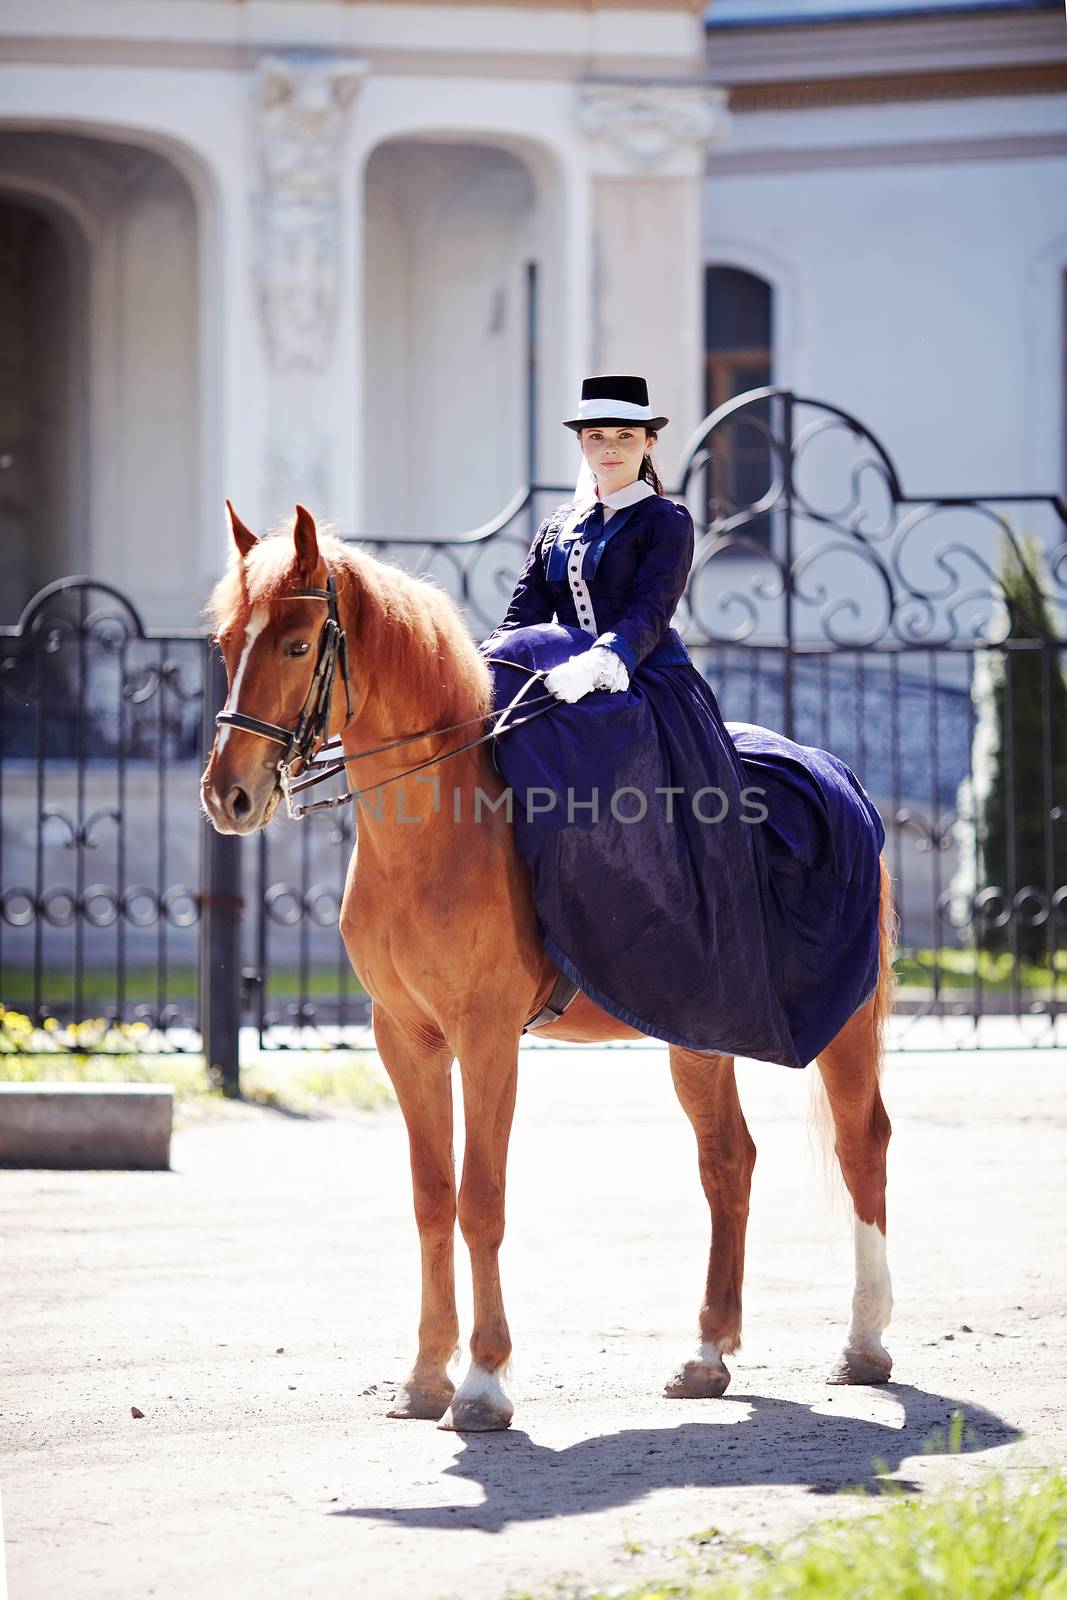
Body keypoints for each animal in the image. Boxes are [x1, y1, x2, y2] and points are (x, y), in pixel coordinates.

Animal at [202, 505, 902, 1433]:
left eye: (294, 642)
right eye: (225, 642)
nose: (228, 795)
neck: (438, 829)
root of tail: (841, 776)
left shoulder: (487, 1036)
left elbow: (480, 1198)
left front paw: (482, 1383)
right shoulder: (405, 1039)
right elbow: (432, 1197)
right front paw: (424, 1375)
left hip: (843, 1026)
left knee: (862, 1145)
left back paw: (864, 1342)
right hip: (700, 1031)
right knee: (727, 1161)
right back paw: (707, 1352)